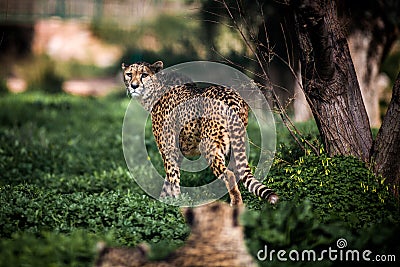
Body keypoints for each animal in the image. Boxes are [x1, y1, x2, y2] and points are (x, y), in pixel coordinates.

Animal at [122, 61, 278, 205]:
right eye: (129, 74)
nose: (134, 86)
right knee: (237, 171)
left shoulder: (169, 149)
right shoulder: (177, 152)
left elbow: (173, 179)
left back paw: (236, 205)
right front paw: (163, 202)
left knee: (229, 175)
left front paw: (178, 204)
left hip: (209, 146)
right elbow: (168, 181)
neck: (155, 90)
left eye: (144, 75)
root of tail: (231, 96)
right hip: (236, 143)